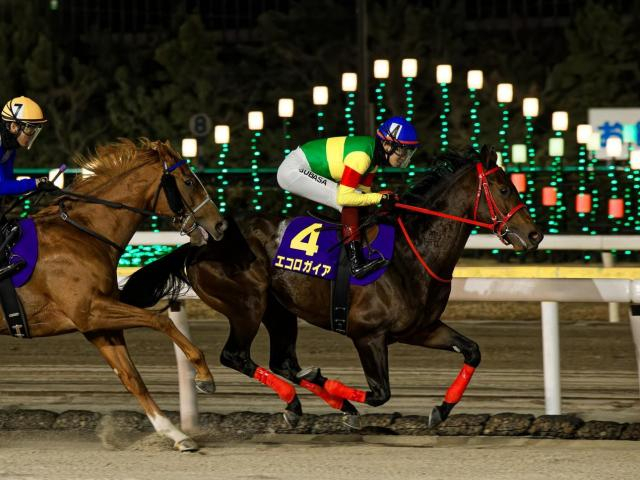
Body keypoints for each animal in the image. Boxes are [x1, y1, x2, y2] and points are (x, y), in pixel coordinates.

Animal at [1, 138, 227, 451]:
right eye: (189, 181)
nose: (220, 225)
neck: (84, 234)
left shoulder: (96, 324)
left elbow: (131, 377)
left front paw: (176, 434)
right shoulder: (90, 311)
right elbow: (160, 321)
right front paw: (204, 376)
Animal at [122, 145, 543, 428]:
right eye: (504, 188)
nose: (535, 234)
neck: (411, 252)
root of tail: (203, 243)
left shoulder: (421, 328)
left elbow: (472, 351)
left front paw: (440, 410)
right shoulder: (367, 335)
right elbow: (380, 392)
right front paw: (339, 393)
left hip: (280, 311)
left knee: (282, 362)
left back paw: (311, 399)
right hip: (247, 305)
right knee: (236, 356)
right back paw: (299, 400)